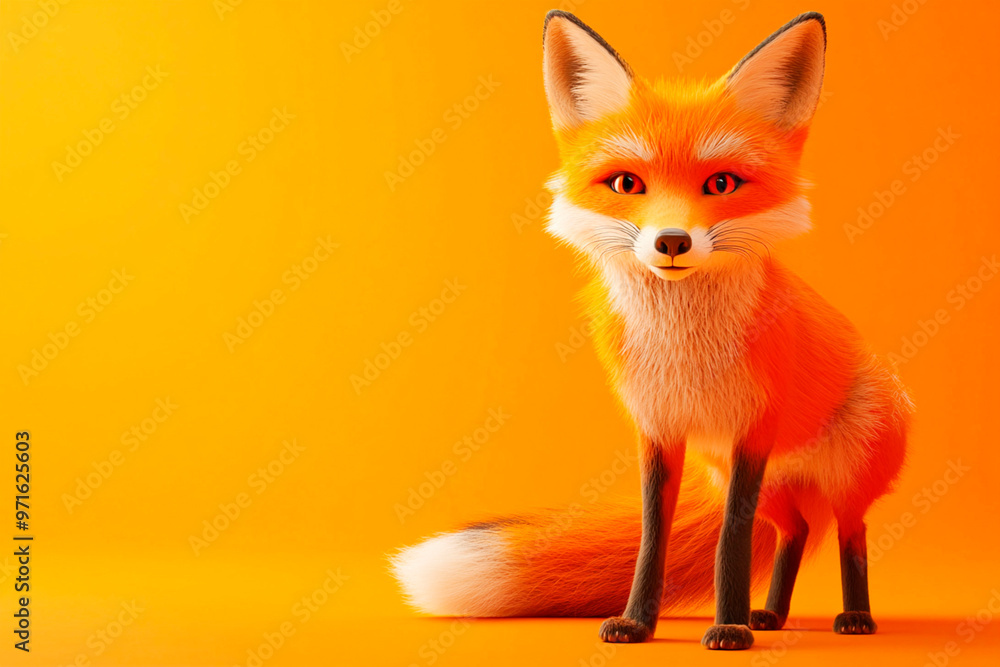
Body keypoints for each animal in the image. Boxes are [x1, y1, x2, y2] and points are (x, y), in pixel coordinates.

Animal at [392, 11, 913, 651]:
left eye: (721, 184)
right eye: (626, 184)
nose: (671, 241)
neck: (683, 353)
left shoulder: (752, 433)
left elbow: (730, 542)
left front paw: (728, 629)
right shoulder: (659, 428)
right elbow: (651, 537)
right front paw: (639, 623)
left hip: (840, 478)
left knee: (849, 532)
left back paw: (853, 616)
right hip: (770, 490)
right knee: (793, 533)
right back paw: (771, 614)